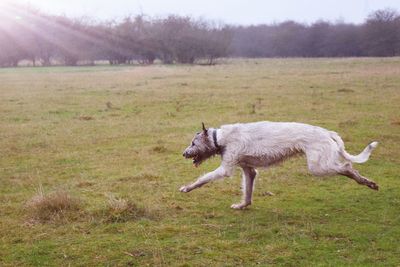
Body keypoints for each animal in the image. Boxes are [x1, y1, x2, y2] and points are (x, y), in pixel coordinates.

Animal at [180, 122, 378, 210]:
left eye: (193, 143)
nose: (183, 153)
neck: (220, 138)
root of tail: (327, 132)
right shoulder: (248, 169)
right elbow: (248, 189)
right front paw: (243, 205)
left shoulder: (226, 168)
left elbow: (204, 179)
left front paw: (187, 188)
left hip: (318, 166)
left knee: (347, 167)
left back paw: (366, 181)